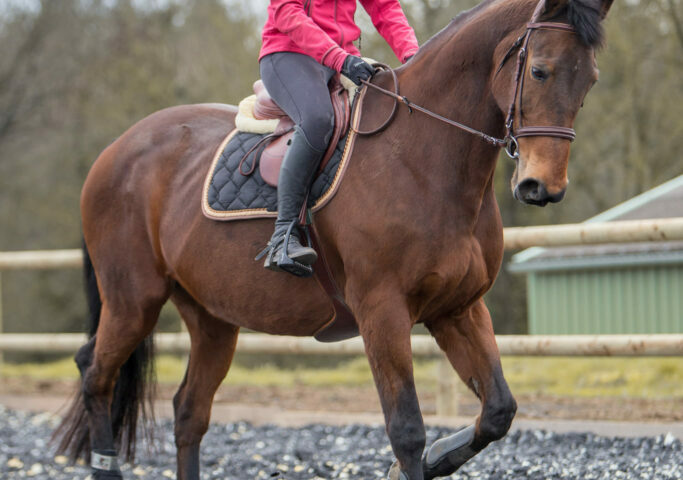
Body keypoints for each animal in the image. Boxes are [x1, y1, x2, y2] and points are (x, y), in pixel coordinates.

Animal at [55, 0, 613, 478]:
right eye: (539, 70)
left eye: (591, 80)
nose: (542, 187)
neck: (423, 157)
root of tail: (114, 151)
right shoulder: (381, 311)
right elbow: (407, 431)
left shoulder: (458, 308)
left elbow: (498, 410)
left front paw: (437, 458)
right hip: (134, 300)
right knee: (95, 374)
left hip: (212, 319)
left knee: (188, 412)